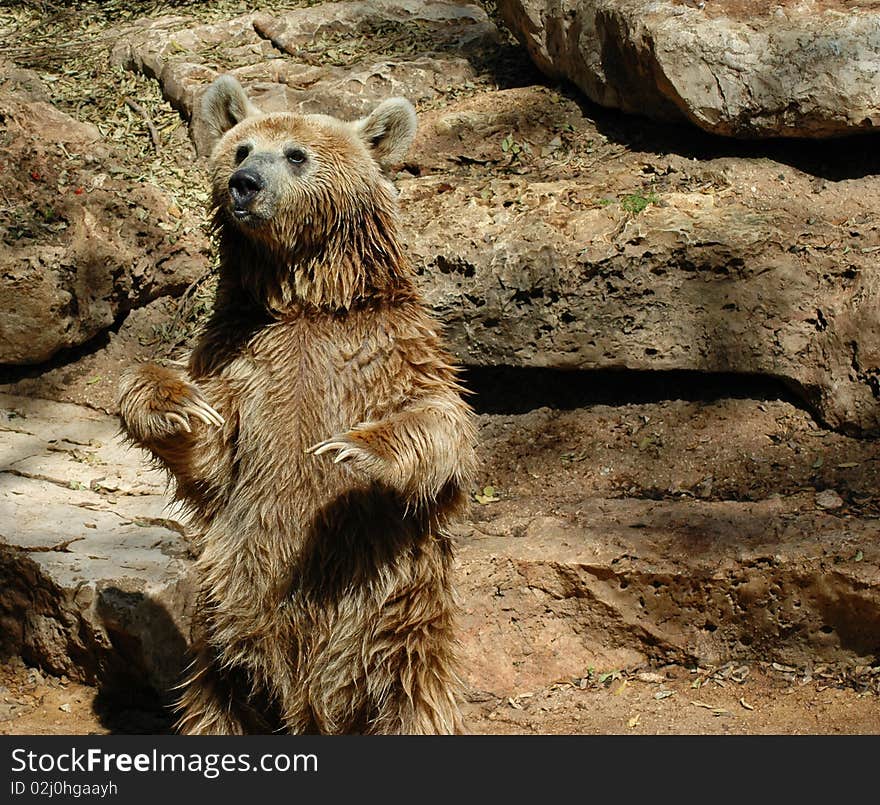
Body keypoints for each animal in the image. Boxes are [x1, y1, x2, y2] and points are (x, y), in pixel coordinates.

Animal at [118, 75, 474, 736]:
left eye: (296, 154)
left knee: (412, 703)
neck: (308, 299)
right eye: (241, 147)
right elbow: (212, 451)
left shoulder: (391, 349)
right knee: (215, 701)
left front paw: (353, 449)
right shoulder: (241, 358)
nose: (245, 183)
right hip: (225, 629)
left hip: (394, 620)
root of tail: (307, 698)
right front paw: (174, 405)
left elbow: (441, 426)